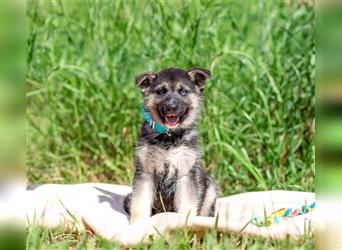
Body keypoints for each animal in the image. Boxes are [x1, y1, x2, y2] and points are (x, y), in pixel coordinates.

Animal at [124, 67, 218, 225]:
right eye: (161, 92)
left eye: (183, 92)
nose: (171, 107)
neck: (169, 137)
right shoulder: (145, 173)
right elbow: (139, 203)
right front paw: (137, 225)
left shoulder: (186, 175)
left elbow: (187, 205)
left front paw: (186, 224)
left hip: (211, 187)